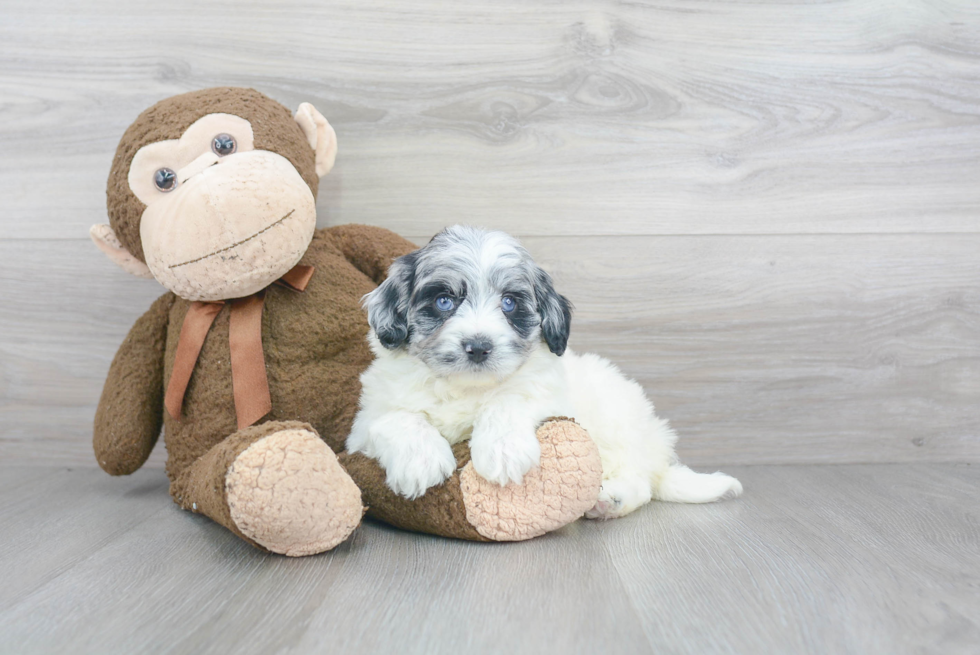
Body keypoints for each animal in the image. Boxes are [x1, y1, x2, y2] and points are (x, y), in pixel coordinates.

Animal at [348, 226, 740, 516]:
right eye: (444, 301)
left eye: (509, 303)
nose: (478, 346)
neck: (468, 388)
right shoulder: (365, 422)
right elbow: (398, 418)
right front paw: (422, 461)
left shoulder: (549, 395)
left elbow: (510, 399)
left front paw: (502, 451)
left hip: (616, 426)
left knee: (640, 481)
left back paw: (610, 500)